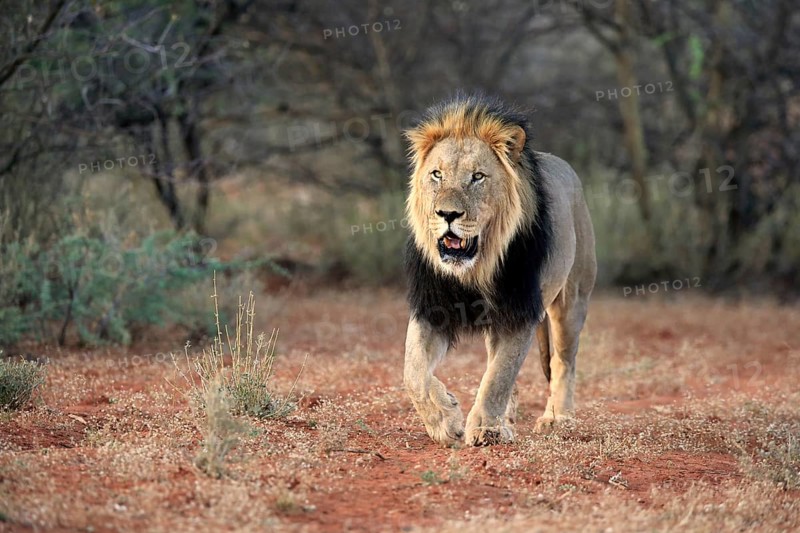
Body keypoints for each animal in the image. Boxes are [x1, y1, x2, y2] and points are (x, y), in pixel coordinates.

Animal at [403, 94, 597, 447]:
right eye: (436, 174)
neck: (474, 269)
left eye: (478, 176)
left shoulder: (519, 310)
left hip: (572, 299)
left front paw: (486, 429)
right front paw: (445, 419)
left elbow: (499, 376)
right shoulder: (431, 306)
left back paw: (557, 418)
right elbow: (413, 372)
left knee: (563, 361)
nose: (446, 214)